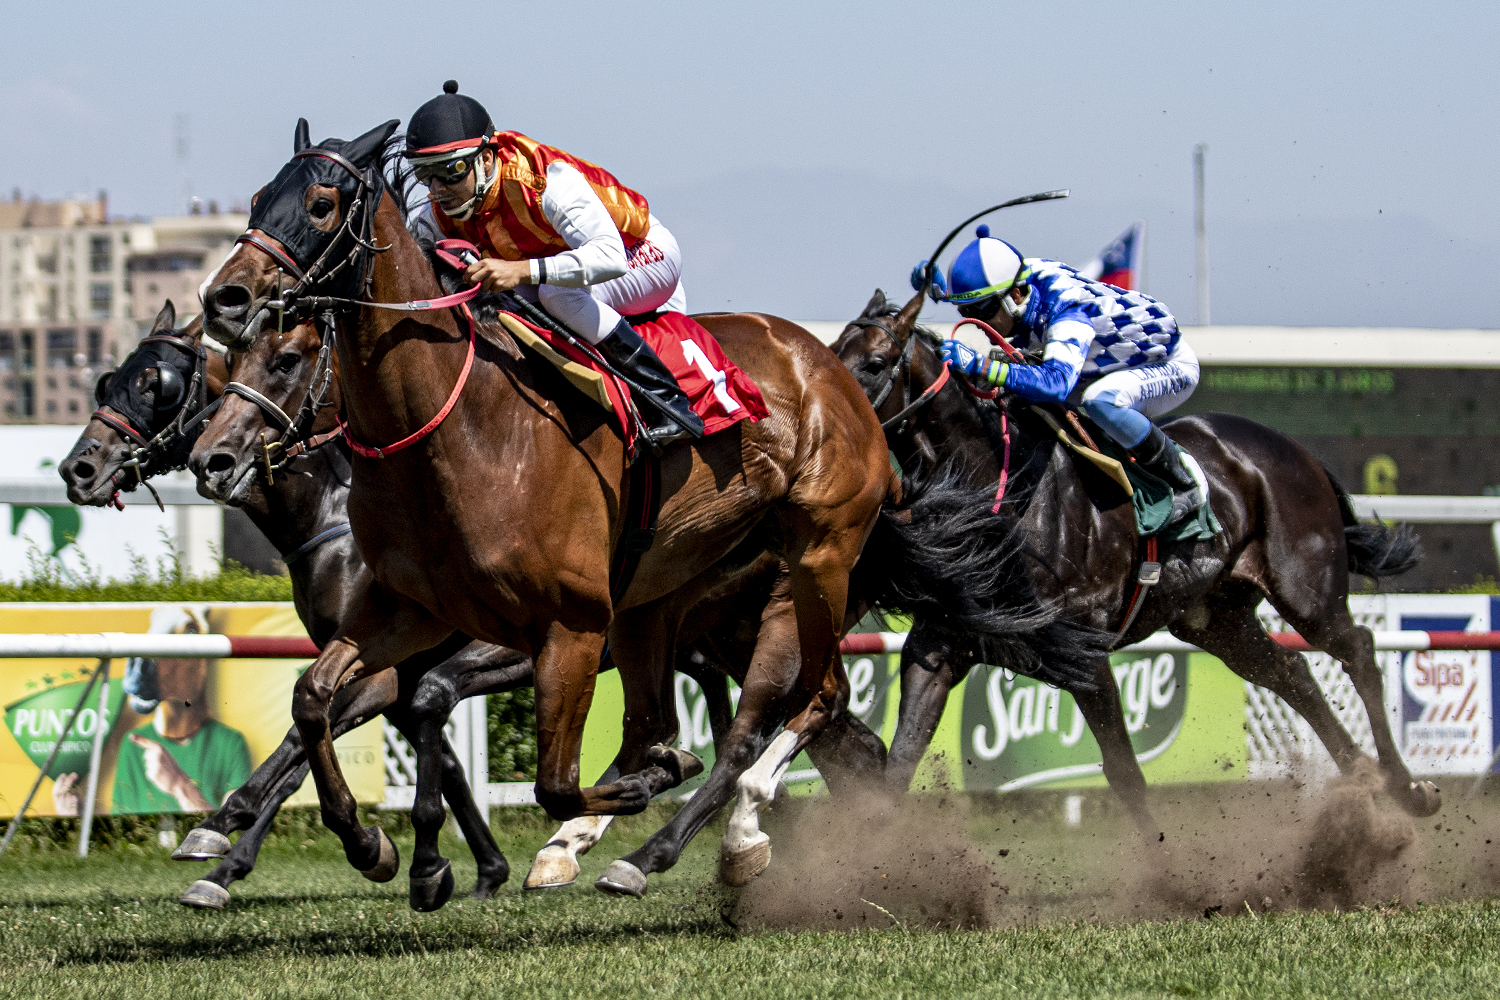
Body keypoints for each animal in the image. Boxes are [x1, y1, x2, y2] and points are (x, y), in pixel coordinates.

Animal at [831, 289, 1440, 826]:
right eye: (834, 352)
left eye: (876, 363)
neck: (1005, 491)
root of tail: (1293, 448)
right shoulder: (939, 648)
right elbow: (897, 768)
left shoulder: (1085, 654)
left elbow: (1126, 774)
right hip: (1215, 617)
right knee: (1289, 672)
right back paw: (1366, 778)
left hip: (1306, 589)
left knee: (1357, 649)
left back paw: (1407, 788)